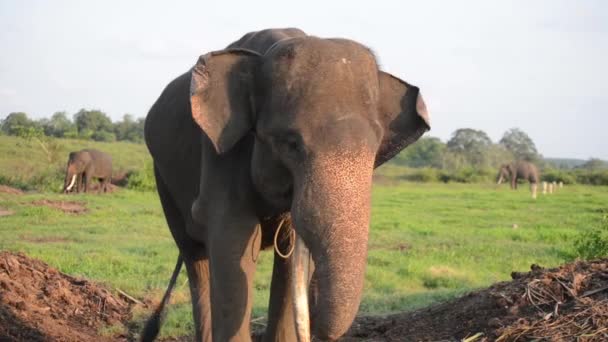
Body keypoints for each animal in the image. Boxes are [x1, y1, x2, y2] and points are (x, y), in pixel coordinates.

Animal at [141, 27, 428, 342]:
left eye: (375, 151)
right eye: (291, 144)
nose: (314, 297)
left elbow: (289, 252)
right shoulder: (221, 154)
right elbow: (234, 238)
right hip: (162, 178)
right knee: (195, 257)